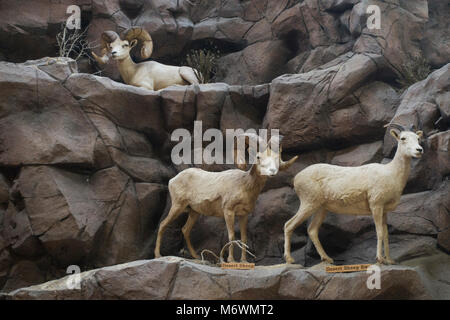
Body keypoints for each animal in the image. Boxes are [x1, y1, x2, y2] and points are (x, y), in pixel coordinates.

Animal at [155, 134, 298, 262]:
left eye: (276, 158)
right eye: (258, 156)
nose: (272, 171)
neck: (245, 185)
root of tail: (172, 180)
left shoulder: (243, 215)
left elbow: (244, 237)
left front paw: (244, 262)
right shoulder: (228, 211)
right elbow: (231, 235)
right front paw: (231, 260)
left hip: (194, 212)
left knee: (185, 230)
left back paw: (196, 257)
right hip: (177, 206)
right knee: (162, 225)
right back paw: (158, 255)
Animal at [284, 124, 424, 264]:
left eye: (417, 138)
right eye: (403, 138)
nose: (419, 150)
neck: (391, 174)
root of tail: (296, 178)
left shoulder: (384, 211)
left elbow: (385, 234)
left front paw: (389, 260)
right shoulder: (376, 205)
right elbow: (379, 232)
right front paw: (380, 259)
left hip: (321, 208)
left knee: (312, 230)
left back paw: (327, 259)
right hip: (308, 203)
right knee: (288, 225)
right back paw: (290, 259)